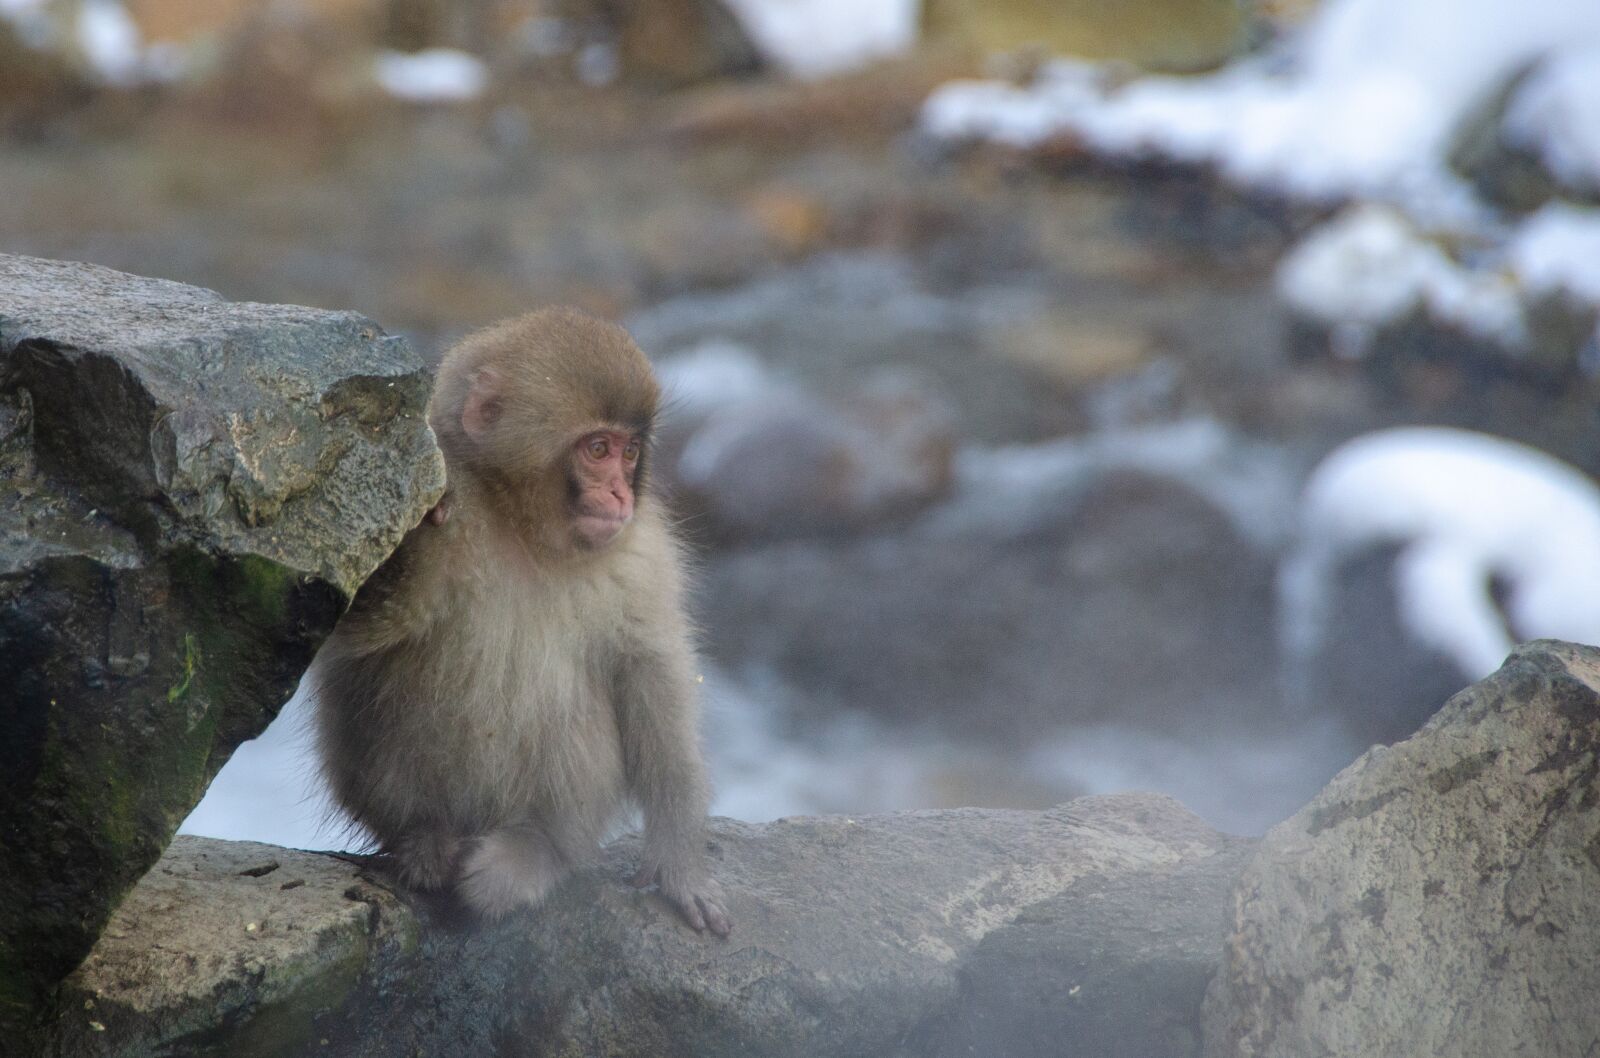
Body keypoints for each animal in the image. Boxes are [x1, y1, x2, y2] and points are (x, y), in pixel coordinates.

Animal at [311, 308, 730, 935]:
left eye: (630, 452)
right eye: (598, 448)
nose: (619, 494)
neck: (523, 529)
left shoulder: (642, 556)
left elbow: (651, 677)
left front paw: (681, 867)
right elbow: (351, 636)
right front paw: (417, 529)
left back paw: (539, 850)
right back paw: (425, 839)